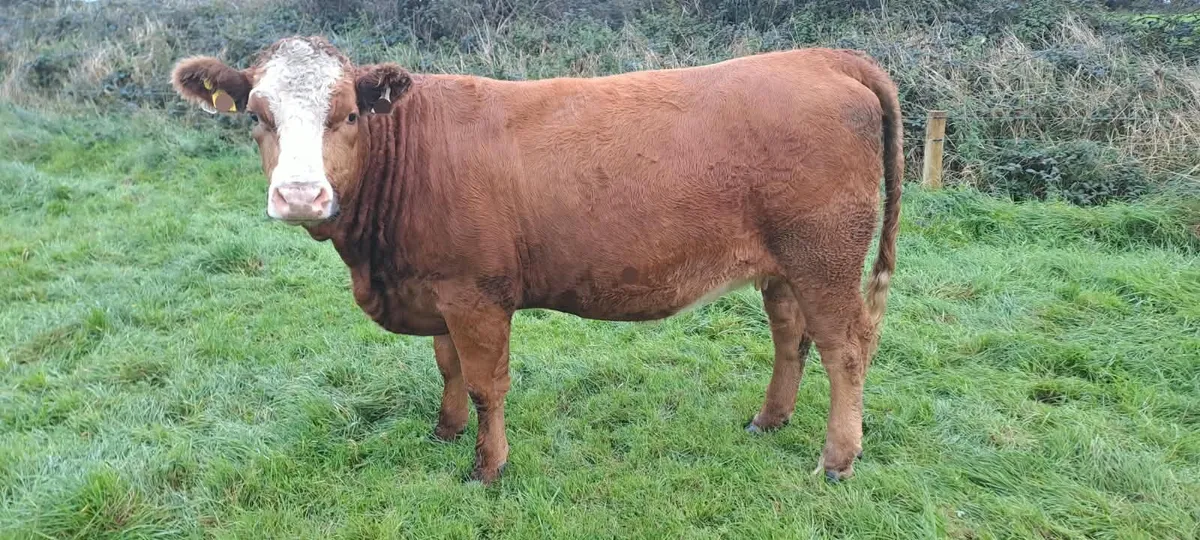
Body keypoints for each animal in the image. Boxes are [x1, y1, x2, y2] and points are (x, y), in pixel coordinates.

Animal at [170, 35, 902, 484]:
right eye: (257, 116)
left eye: (348, 114)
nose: (300, 194)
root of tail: (823, 58)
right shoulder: (436, 289)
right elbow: (447, 367)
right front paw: (444, 432)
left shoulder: (476, 294)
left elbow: (486, 383)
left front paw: (487, 467)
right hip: (782, 267)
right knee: (790, 339)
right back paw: (769, 420)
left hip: (826, 260)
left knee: (845, 350)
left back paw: (837, 458)